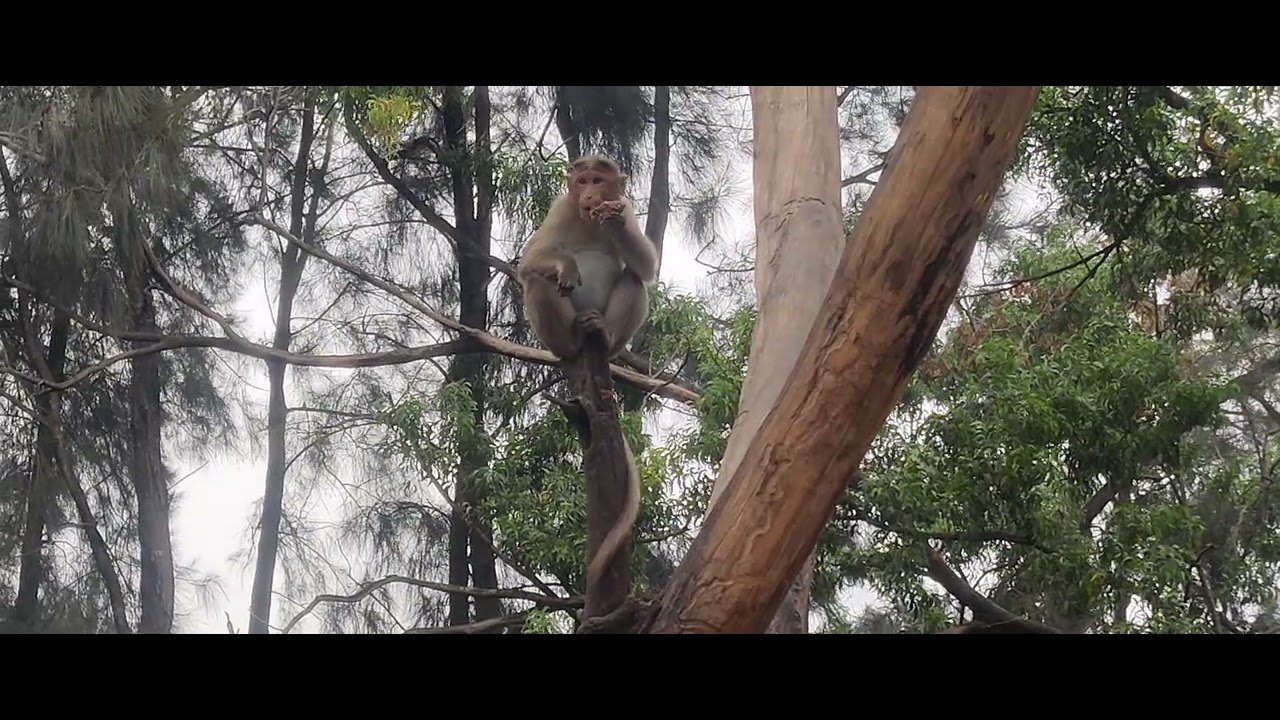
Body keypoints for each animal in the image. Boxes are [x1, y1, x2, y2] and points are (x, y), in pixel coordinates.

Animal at [516, 154, 658, 593]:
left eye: (599, 180)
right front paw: (566, 266)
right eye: (581, 182)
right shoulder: (561, 208)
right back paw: (574, 338)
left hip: (611, 339)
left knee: (633, 279)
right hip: (555, 335)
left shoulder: (626, 206)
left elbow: (647, 267)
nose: (590, 195)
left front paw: (612, 222)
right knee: (537, 282)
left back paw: (602, 333)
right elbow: (529, 262)